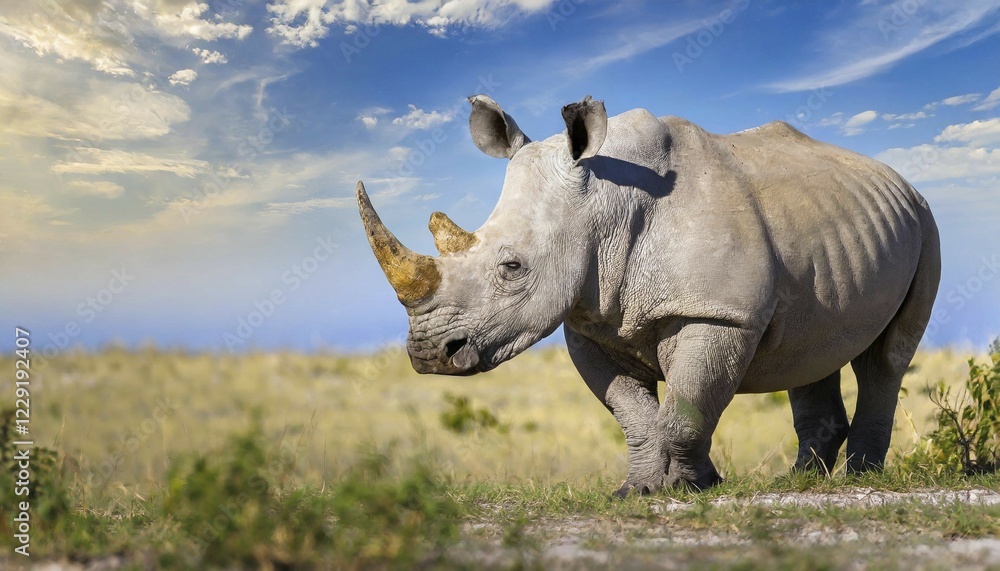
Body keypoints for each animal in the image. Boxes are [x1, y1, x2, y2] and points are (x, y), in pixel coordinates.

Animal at [356, 95, 940, 495]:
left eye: (512, 268)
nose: (430, 356)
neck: (602, 204)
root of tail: (902, 182)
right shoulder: (588, 320)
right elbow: (633, 413)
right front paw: (637, 490)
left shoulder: (718, 313)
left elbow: (688, 404)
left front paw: (689, 487)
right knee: (811, 349)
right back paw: (796, 483)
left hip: (925, 223)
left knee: (885, 357)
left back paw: (859, 478)